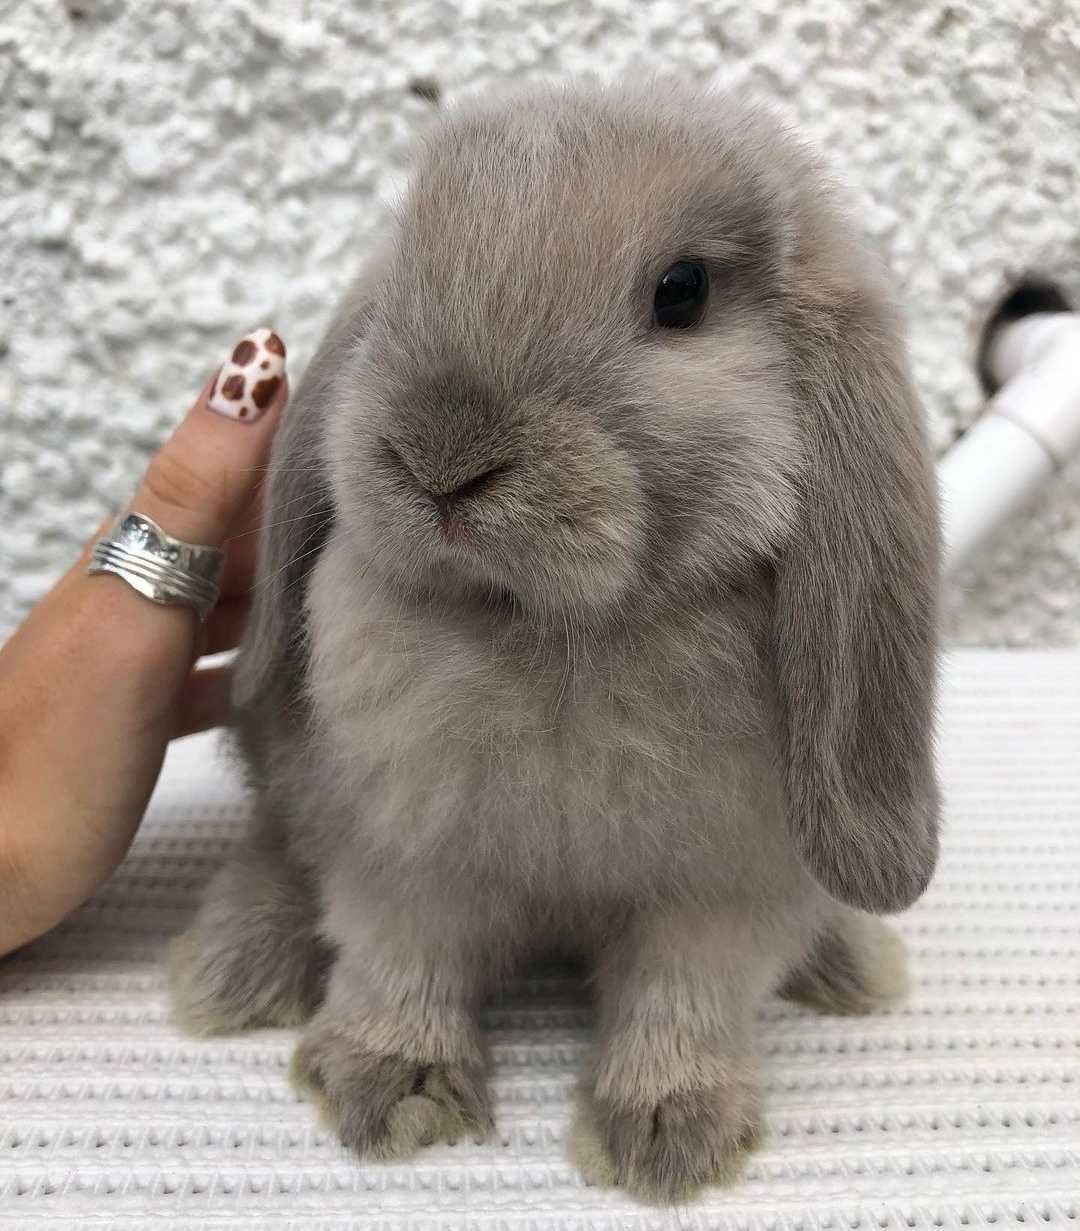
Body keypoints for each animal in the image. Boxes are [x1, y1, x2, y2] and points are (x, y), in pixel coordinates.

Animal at [168, 76, 935, 1201]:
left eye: (681, 292)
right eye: (403, 276)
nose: (442, 457)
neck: (554, 629)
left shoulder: (726, 881)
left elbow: (684, 992)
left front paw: (669, 1133)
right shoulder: (400, 842)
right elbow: (402, 952)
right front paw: (391, 1087)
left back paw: (850, 963)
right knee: (274, 844)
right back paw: (232, 968)